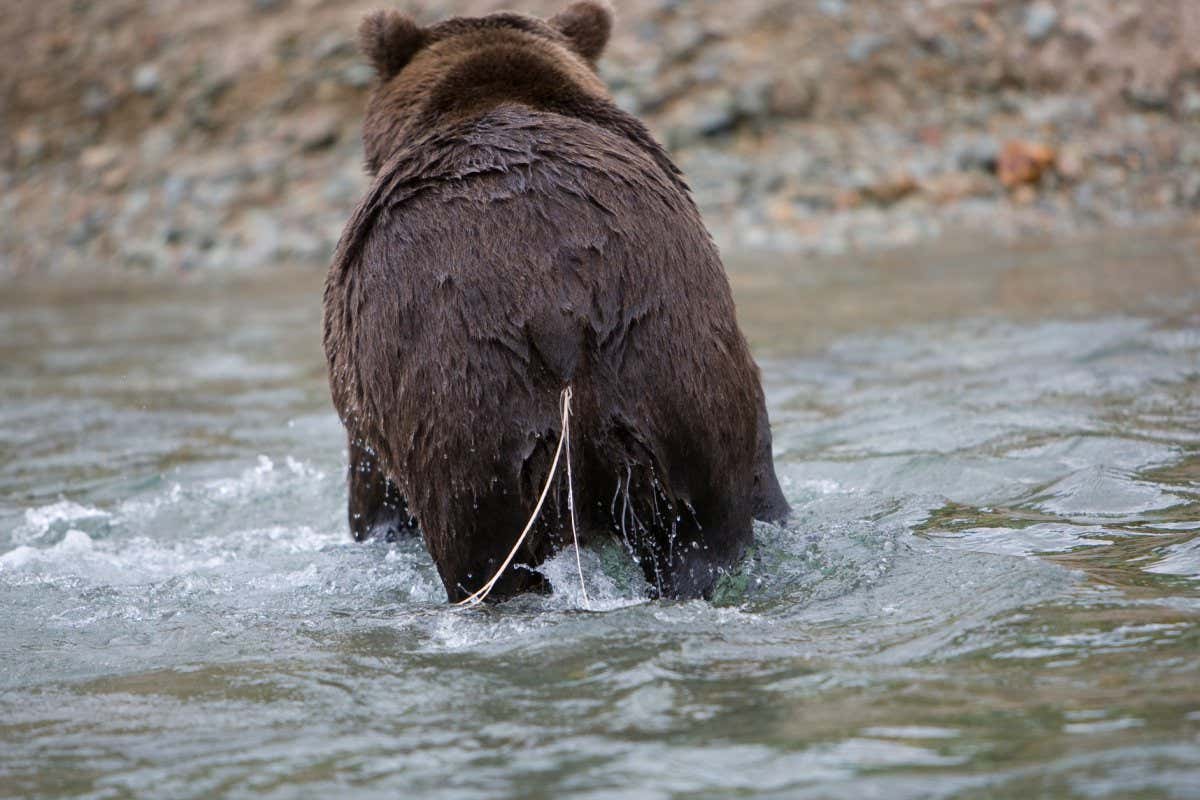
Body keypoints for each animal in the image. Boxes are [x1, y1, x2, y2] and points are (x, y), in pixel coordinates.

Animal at [323, 1, 789, 603]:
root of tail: (563, 314)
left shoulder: (362, 389)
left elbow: (372, 489)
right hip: (676, 371)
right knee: (704, 528)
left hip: (463, 397)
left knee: (483, 548)